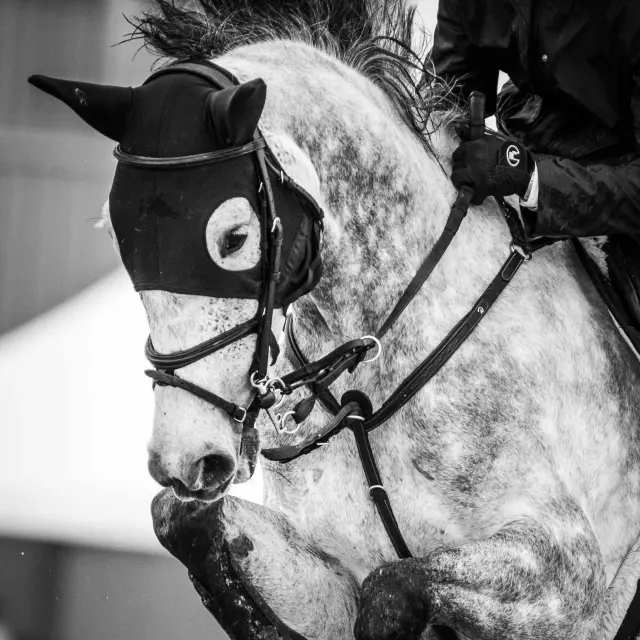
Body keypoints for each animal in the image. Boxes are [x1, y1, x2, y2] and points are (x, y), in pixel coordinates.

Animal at [29, 1, 640, 638]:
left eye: (234, 238)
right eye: (115, 234)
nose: (185, 460)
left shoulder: (564, 578)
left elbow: (390, 590)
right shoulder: (327, 568)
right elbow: (180, 519)